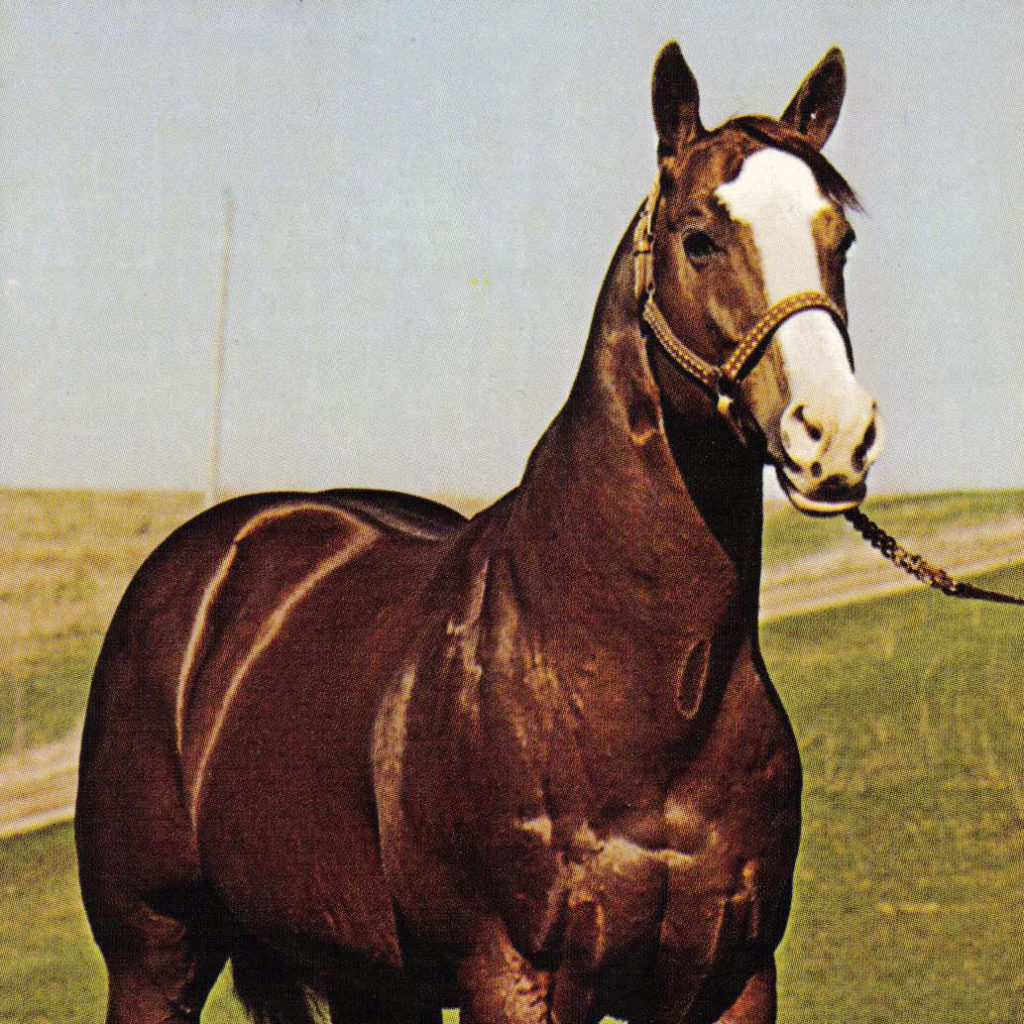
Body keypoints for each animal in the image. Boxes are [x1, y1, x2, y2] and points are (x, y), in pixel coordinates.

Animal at [76, 41, 882, 1024]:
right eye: (700, 237)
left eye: (839, 240)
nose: (833, 434)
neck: (626, 677)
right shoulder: (514, 976)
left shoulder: (731, 979)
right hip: (154, 956)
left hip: (372, 978)